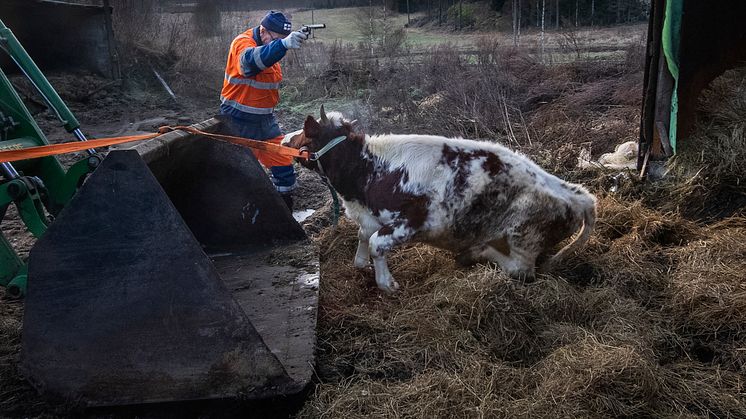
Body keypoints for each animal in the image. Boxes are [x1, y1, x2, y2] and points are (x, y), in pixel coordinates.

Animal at [282, 106, 596, 294]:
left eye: (305, 133)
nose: (284, 138)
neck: (371, 170)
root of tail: (577, 195)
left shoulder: (413, 220)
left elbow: (376, 244)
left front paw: (387, 284)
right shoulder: (372, 214)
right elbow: (363, 238)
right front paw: (362, 264)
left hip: (524, 237)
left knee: (520, 271)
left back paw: (476, 252)